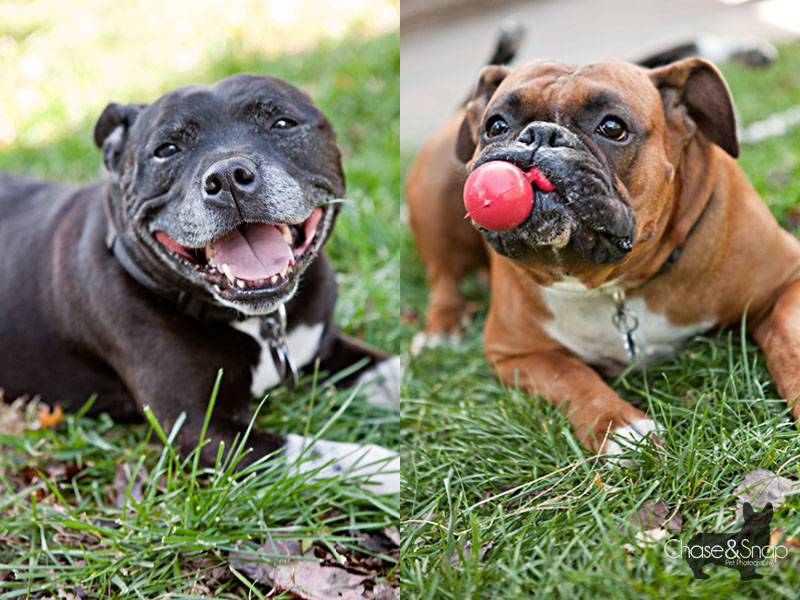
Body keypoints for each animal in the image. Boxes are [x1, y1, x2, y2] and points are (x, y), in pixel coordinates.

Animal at [0, 72, 398, 492]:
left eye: (282, 123)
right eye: (166, 150)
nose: (228, 176)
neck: (257, 321)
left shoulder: (324, 346)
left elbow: (393, 369)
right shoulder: (201, 429)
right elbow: (321, 454)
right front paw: (387, 465)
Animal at [406, 58, 800, 458]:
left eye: (612, 127)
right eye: (497, 126)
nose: (541, 135)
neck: (613, 285)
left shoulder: (788, 283)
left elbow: (788, 339)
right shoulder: (515, 354)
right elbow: (571, 375)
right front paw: (621, 428)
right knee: (443, 277)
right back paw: (441, 331)